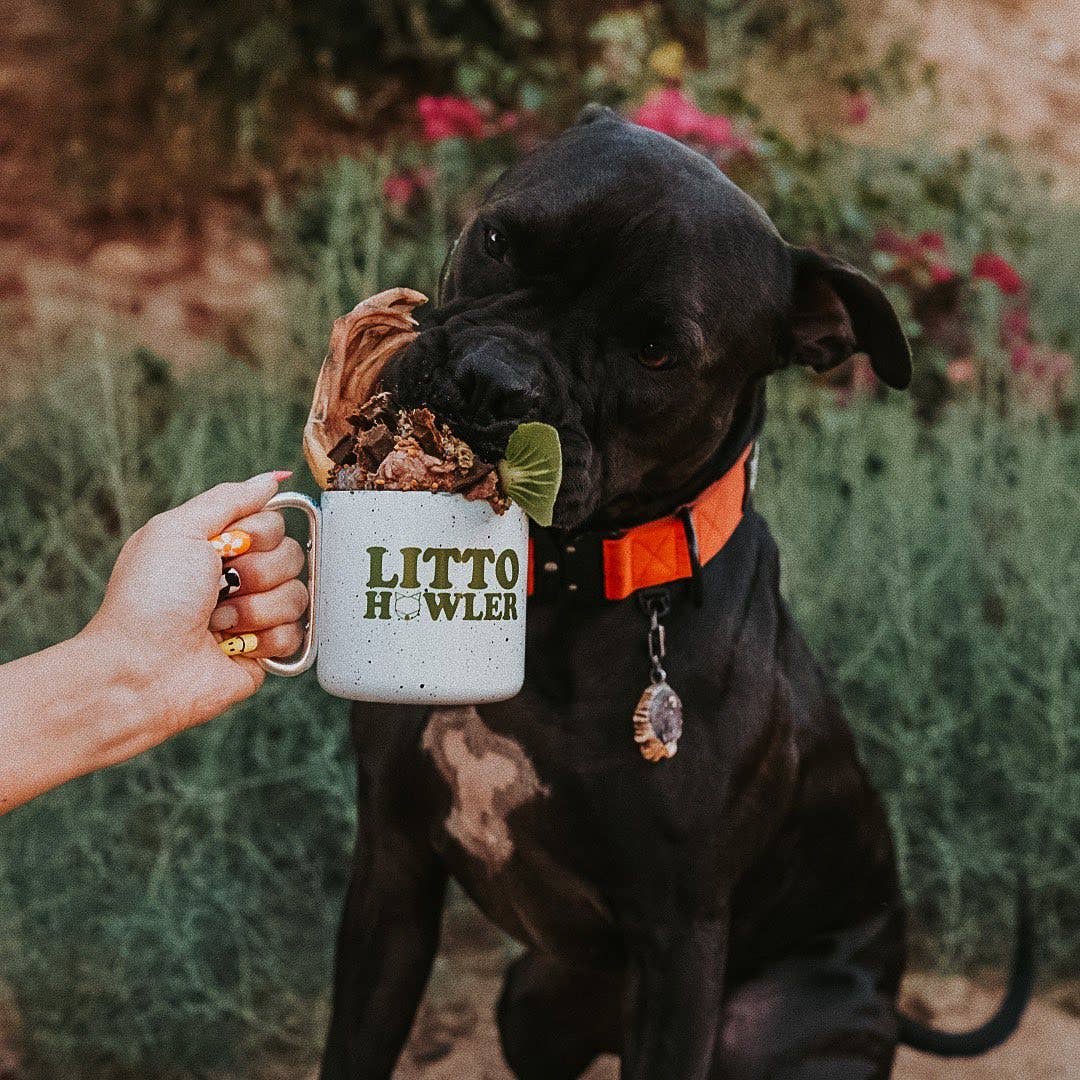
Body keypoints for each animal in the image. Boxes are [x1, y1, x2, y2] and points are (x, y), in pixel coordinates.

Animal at [317, 103, 1028, 1080]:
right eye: (498, 240)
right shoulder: (392, 868)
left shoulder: (678, 939)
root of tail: (890, 989)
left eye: (656, 352)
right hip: (530, 1005)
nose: (493, 377)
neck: (563, 587)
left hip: (761, 1025)